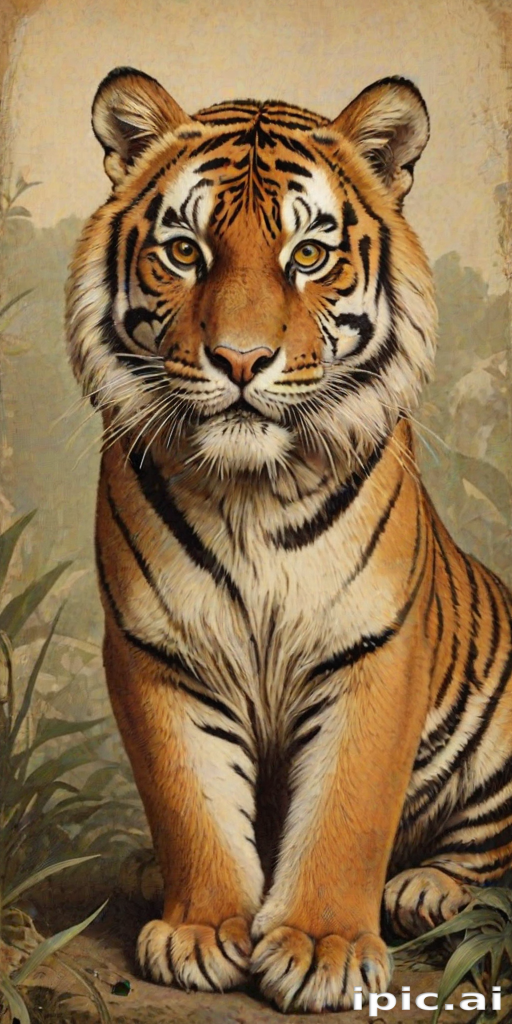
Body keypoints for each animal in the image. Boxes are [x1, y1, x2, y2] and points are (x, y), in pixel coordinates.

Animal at [65, 66, 512, 1013]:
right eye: (185, 251)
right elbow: (189, 800)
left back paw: (426, 890)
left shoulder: (375, 650)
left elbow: (350, 807)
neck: (250, 492)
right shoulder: (159, 651)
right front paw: (201, 930)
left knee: (486, 847)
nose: (240, 361)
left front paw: (321, 948)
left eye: (308, 255)